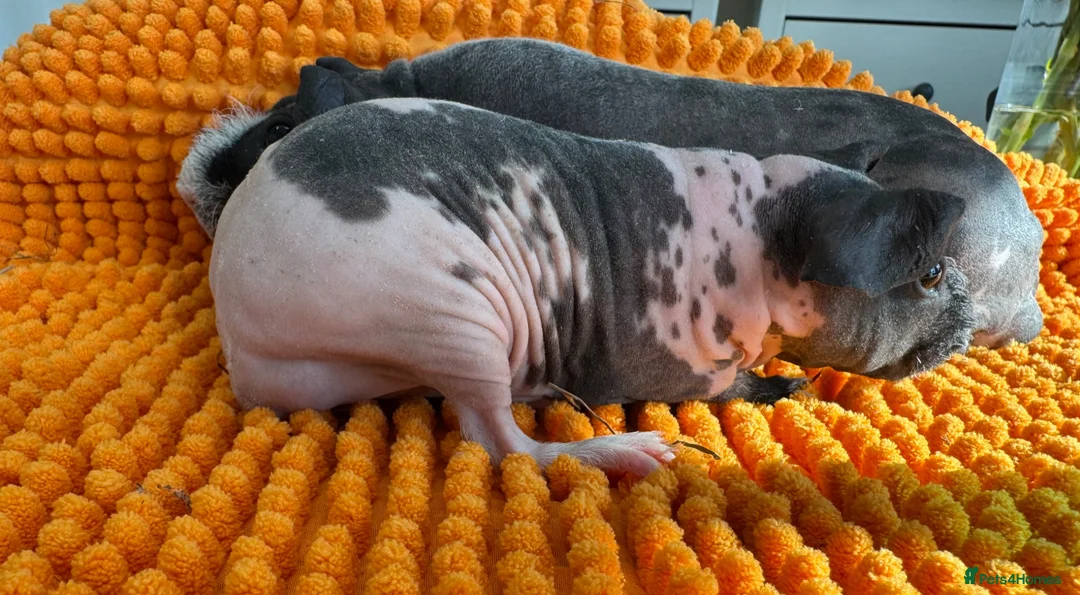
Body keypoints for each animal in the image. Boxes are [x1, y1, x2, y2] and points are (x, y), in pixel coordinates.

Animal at [181, 97, 975, 475]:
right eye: (932, 274)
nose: (971, 307)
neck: (765, 222)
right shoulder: (671, 364)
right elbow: (734, 387)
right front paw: (783, 384)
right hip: (452, 310)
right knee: (504, 445)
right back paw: (623, 452)